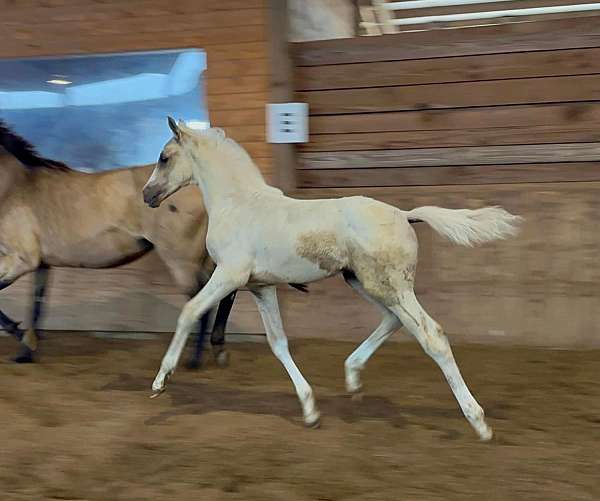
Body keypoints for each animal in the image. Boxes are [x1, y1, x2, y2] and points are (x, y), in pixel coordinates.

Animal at [144, 119, 520, 440]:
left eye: (164, 157)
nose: (148, 195)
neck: (238, 205)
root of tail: (404, 214)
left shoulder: (228, 275)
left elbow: (189, 312)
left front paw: (161, 381)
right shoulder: (261, 287)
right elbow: (278, 343)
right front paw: (310, 410)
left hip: (390, 286)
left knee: (432, 335)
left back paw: (478, 421)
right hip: (362, 282)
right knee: (393, 320)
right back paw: (353, 378)